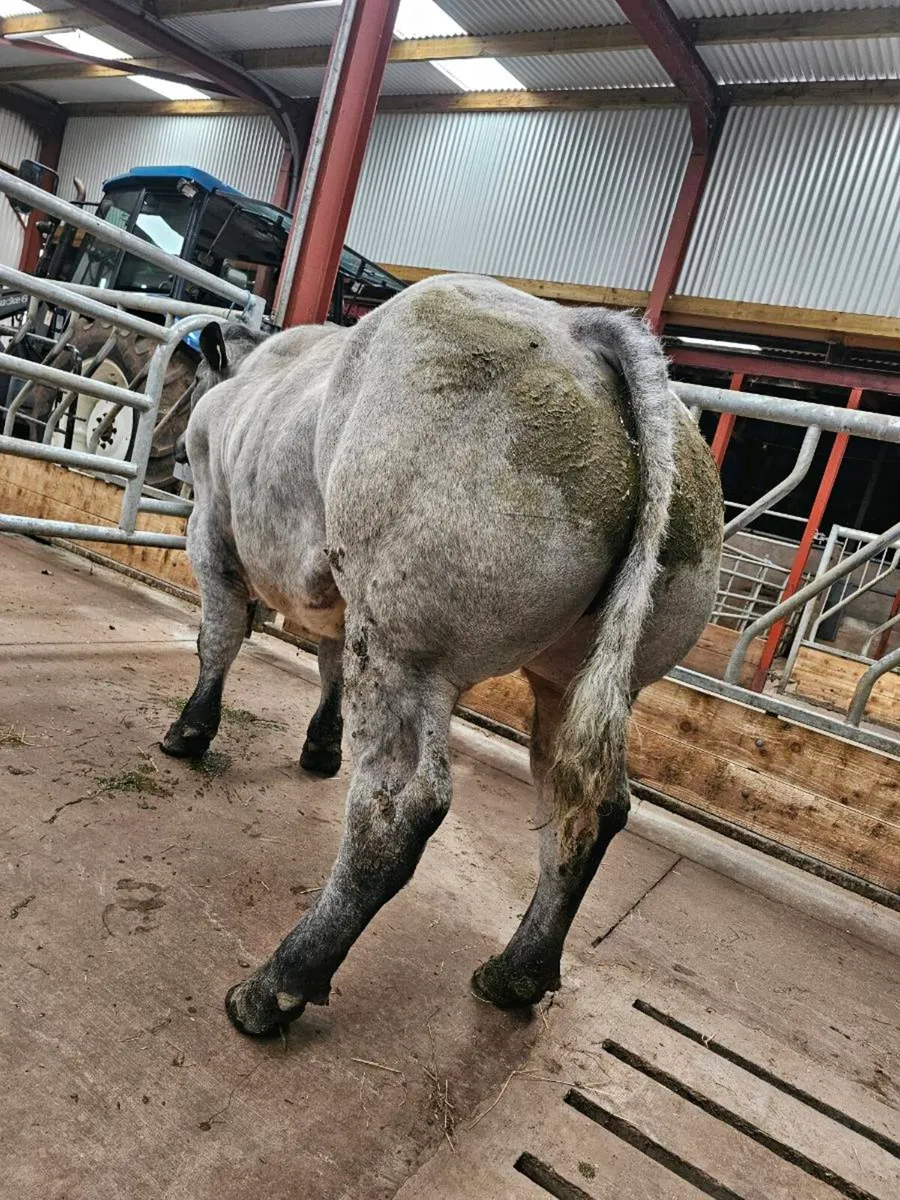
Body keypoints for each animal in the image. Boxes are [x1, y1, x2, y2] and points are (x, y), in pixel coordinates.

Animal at [161, 274, 723, 1038]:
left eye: (191, 381)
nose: (170, 452)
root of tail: (582, 331)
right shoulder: (339, 592)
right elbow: (328, 662)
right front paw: (320, 746)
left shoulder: (212, 533)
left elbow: (217, 637)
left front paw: (189, 732)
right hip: (579, 678)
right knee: (586, 806)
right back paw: (515, 974)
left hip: (408, 646)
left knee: (400, 809)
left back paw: (277, 984)